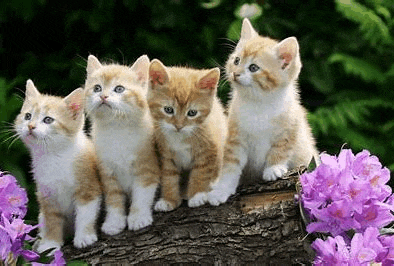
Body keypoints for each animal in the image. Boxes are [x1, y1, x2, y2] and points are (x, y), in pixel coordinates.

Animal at [14, 79, 101, 254]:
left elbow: (85, 214)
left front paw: (84, 237)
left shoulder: (88, 187)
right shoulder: (47, 194)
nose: (30, 126)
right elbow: (51, 219)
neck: (54, 157)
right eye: (28, 116)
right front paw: (50, 245)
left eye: (48, 120)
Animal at [84, 54, 160, 235]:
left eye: (119, 89)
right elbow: (113, 199)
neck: (116, 129)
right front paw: (114, 222)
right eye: (97, 88)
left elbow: (142, 194)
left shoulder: (147, 166)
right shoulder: (107, 171)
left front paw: (139, 217)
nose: (103, 96)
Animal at [147, 59, 228, 211]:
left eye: (192, 113)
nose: (179, 126)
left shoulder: (209, 150)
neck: (180, 138)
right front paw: (169, 199)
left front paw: (197, 195)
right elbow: (169, 176)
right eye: (168, 110)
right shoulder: (165, 154)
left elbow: (201, 172)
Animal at [208, 18, 318, 206]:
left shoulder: (291, 125)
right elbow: (230, 166)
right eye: (236, 60)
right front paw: (221, 190)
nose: (235, 73)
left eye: (253, 68)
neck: (258, 104)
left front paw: (274, 168)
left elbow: (282, 147)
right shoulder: (235, 136)